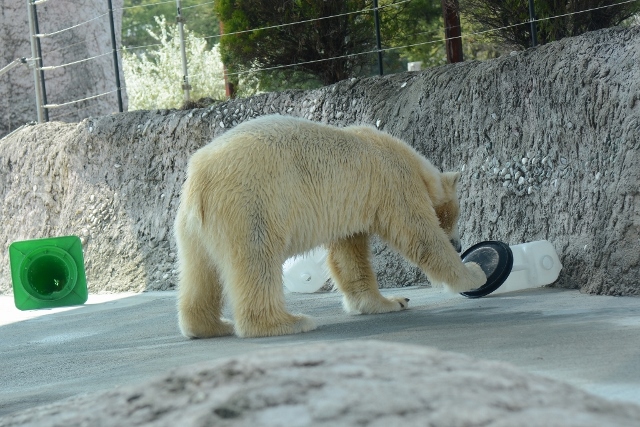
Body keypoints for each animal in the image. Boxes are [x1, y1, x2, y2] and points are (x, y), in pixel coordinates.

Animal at [175, 115, 484, 340]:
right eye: (454, 215)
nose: (459, 244)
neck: (404, 156)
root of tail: (201, 178)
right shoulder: (394, 183)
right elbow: (421, 237)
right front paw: (473, 273)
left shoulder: (352, 208)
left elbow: (349, 256)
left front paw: (390, 301)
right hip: (252, 204)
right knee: (256, 260)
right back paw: (288, 322)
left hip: (193, 225)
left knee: (200, 272)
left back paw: (210, 326)